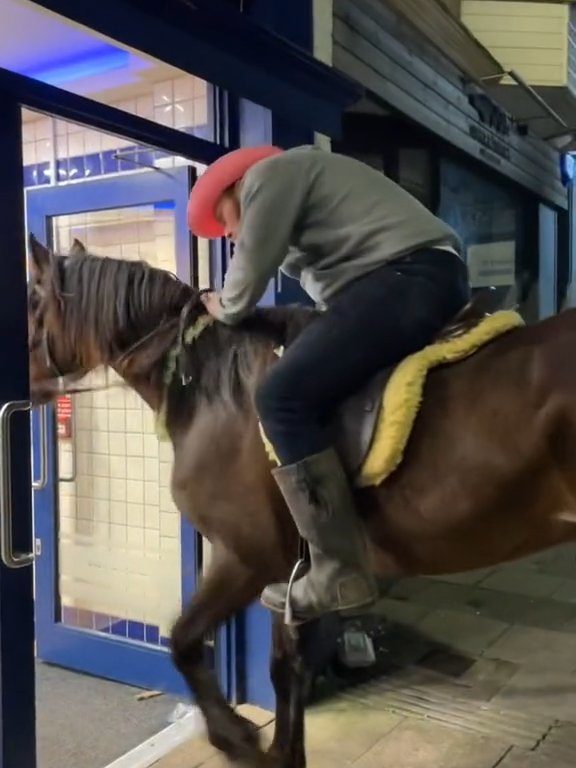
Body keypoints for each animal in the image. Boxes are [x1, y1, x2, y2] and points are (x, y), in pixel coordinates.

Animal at [28, 237, 576, 764]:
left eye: (29, 301)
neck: (213, 391)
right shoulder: (284, 577)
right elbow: (281, 666)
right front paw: (274, 747)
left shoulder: (248, 558)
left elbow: (190, 642)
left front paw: (237, 736)